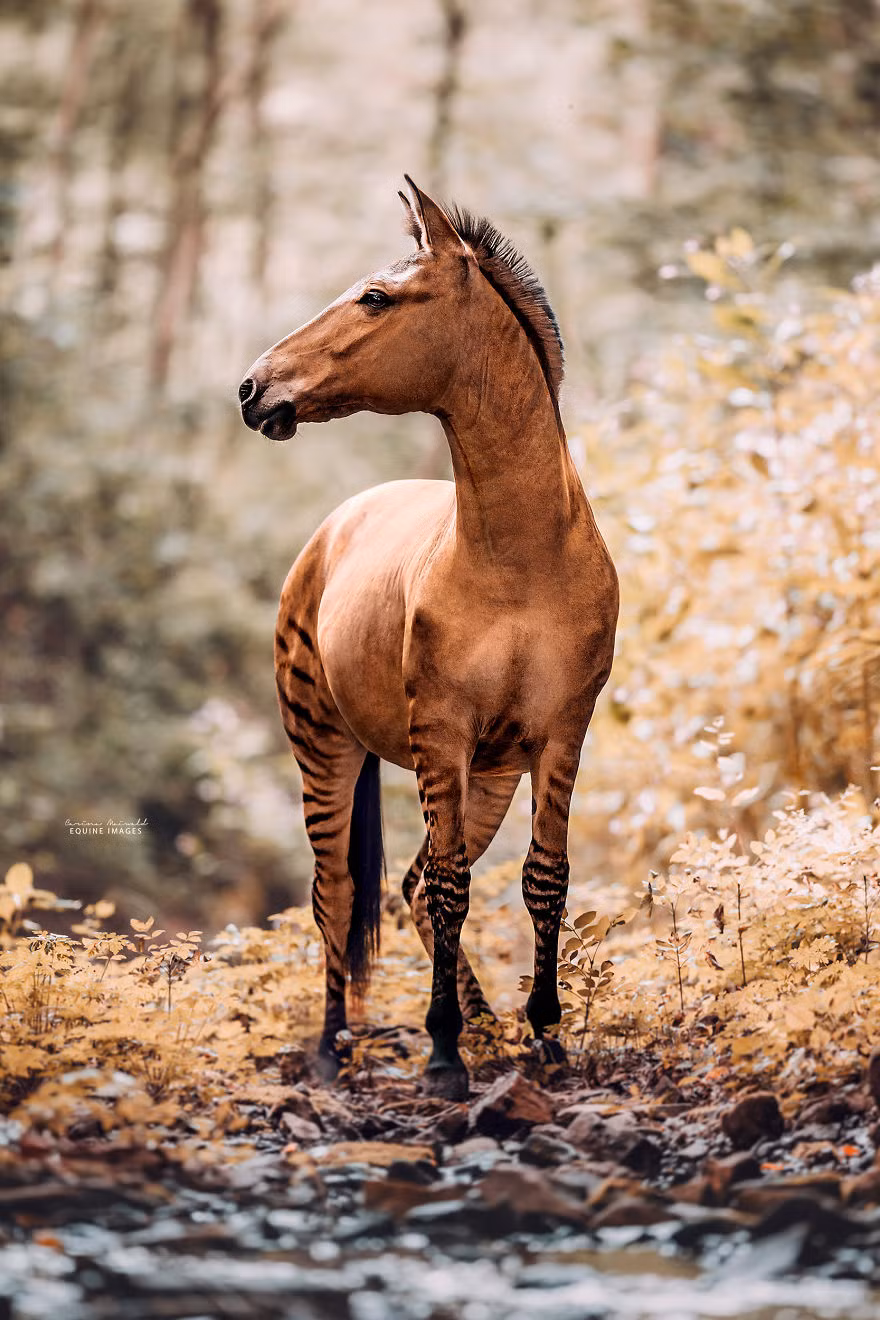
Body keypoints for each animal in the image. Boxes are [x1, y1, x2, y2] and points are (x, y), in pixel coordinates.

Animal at [239, 177, 618, 1100]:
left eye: (376, 297)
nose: (254, 388)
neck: (521, 554)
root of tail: (335, 526)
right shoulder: (440, 736)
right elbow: (449, 889)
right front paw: (442, 1053)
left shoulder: (560, 735)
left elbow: (542, 880)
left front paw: (545, 1038)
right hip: (323, 746)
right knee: (339, 891)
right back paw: (335, 1047)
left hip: (492, 774)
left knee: (406, 885)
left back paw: (484, 1028)